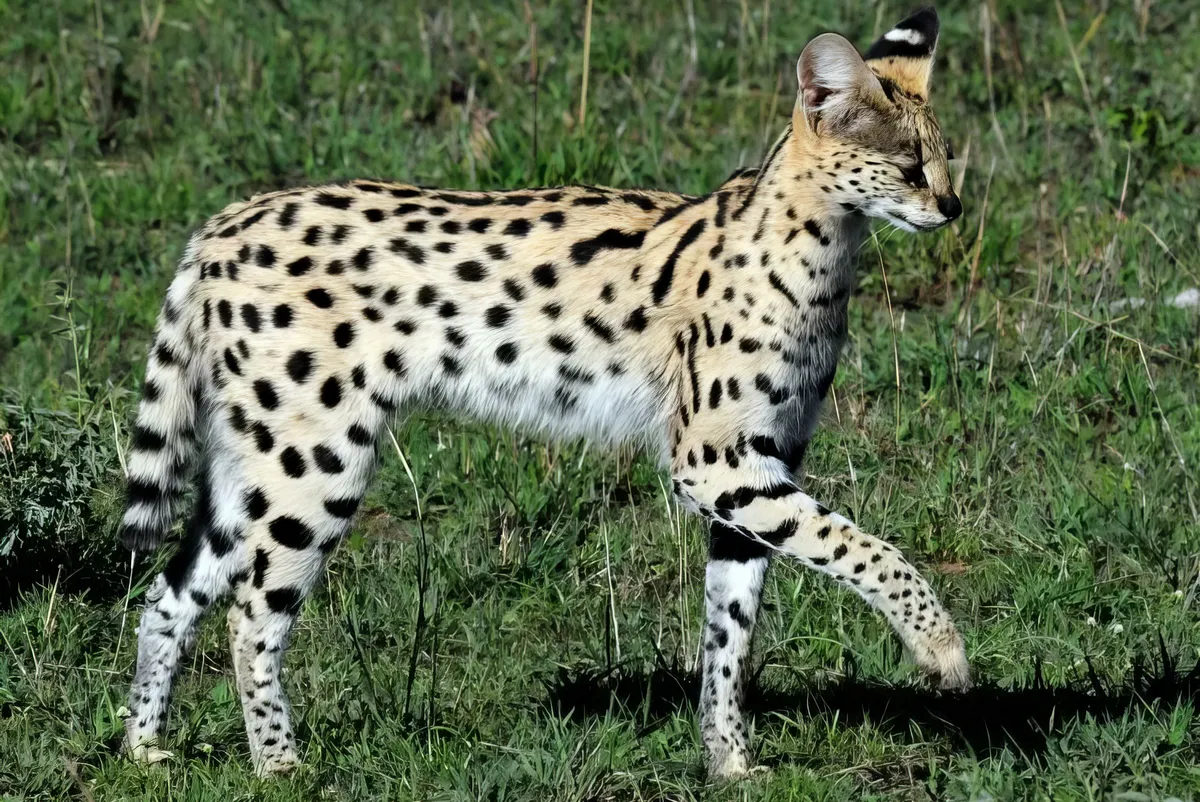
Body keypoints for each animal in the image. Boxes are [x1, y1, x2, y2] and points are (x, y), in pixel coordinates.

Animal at [118, 7, 966, 780]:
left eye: (946, 159)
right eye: (907, 165)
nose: (952, 207)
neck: (820, 250)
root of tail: (221, 224)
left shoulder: (758, 467)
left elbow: (730, 631)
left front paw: (728, 760)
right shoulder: (716, 463)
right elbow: (865, 549)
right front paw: (943, 649)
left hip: (248, 467)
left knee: (170, 594)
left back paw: (144, 749)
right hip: (314, 462)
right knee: (249, 615)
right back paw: (279, 766)